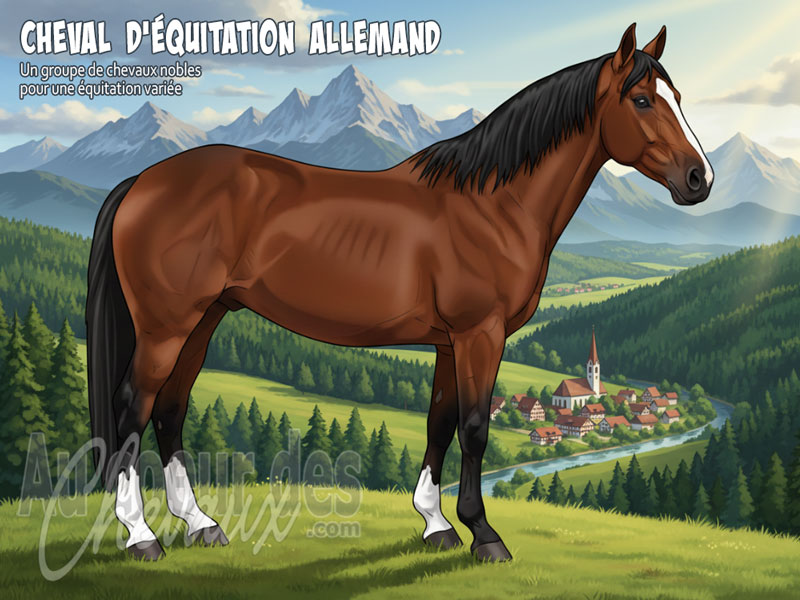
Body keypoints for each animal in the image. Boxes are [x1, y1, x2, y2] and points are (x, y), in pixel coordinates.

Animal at [86, 23, 712, 562]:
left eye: (679, 95)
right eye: (642, 100)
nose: (699, 179)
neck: (493, 204)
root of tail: (142, 181)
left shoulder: (449, 342)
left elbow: (440, 422)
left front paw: (436, 525)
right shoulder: (479, 334)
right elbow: (476, 428)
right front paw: (484, 535)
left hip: (204, 319)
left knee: (170, 409)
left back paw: (200, 523)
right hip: (166, 326)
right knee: (134, 407)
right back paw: (141, 535)